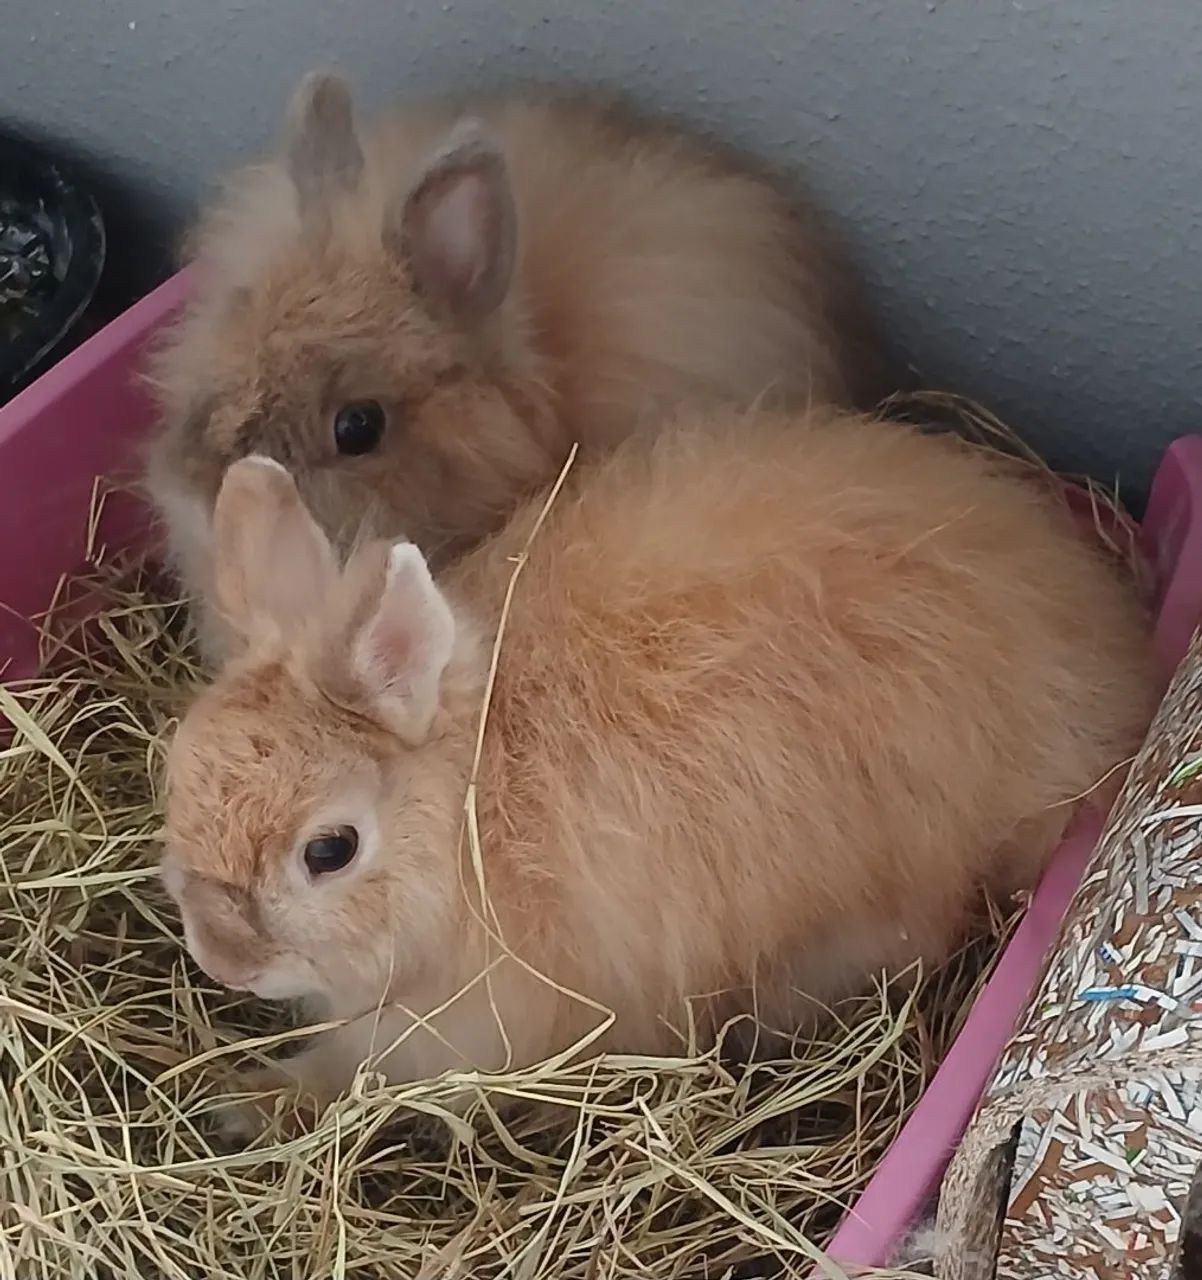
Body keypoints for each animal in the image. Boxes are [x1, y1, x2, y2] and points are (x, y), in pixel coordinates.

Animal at [158, 408, 1154, 1120]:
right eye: (175, 783)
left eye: (329, 851)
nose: (224, 963)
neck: (472, 812)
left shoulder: (484, 1022)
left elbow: (359, 1066)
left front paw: (252, 1100)